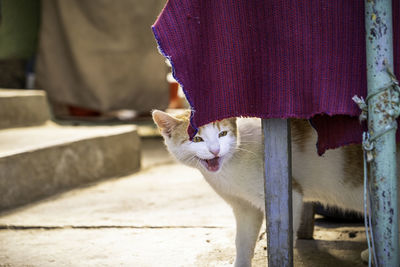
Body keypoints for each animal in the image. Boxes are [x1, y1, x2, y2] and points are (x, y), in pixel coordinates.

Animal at [152, 109, 396, 267]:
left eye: (222, 134)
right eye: (197, 139)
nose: (214, 150)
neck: (230, 166)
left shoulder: (290, 197)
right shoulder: (244, 207)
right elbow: (242, 242)